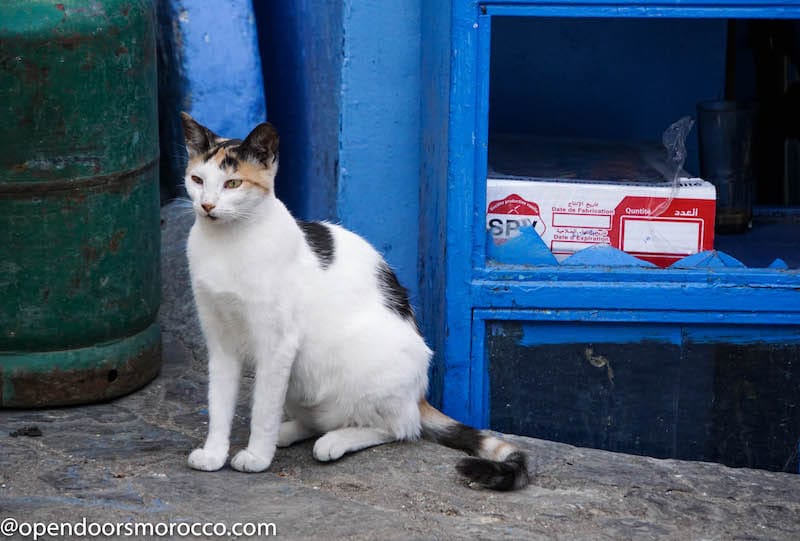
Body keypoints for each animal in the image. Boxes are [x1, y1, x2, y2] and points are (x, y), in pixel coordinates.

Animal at [182, 113, 532, 490]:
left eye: (232, 183)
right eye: (197, 179)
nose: (207, 205)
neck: (227, 244)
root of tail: (419, 395)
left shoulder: (277, 344)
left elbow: (263, 408)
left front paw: (258, 457)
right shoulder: (220, 342)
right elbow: (219, 404)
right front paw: (214, 454)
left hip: (369, 370)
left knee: (399, 427)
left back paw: (334, 441)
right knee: (321, 418)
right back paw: (289, 432)